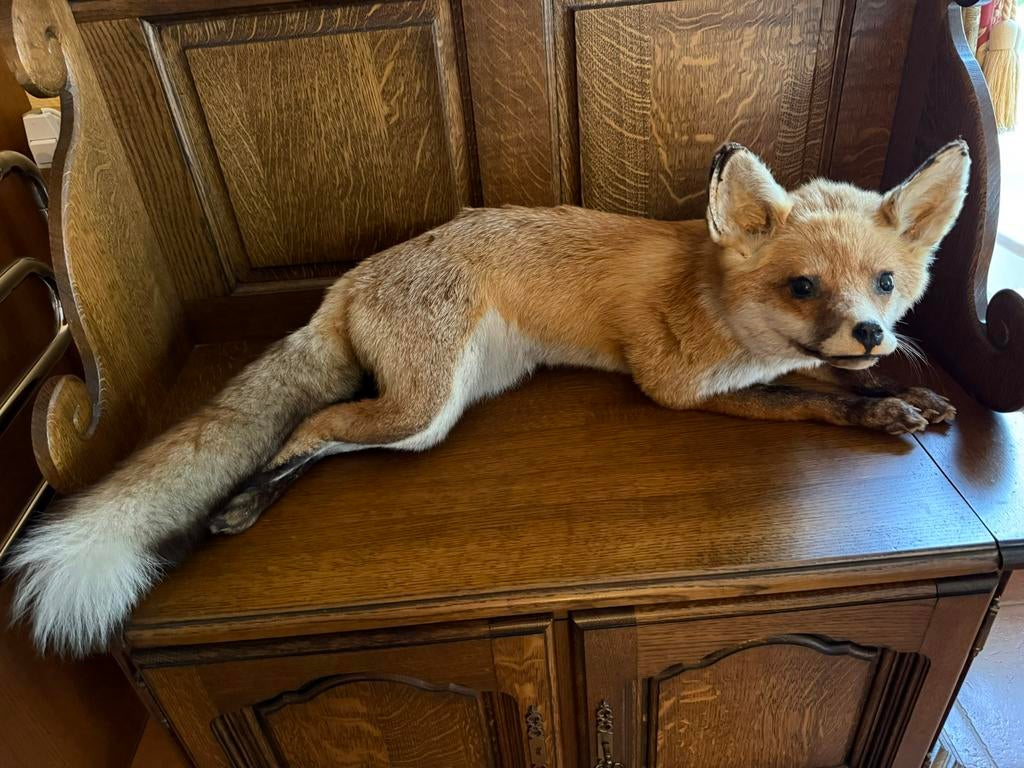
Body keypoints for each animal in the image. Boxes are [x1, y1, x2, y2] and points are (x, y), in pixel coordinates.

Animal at [7, 140, 970, 656]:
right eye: (804, 287)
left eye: (884, 284)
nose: (871, 333)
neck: (718, 303)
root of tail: (353, 277)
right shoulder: (678, 386)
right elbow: (810, 398)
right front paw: (878, 409)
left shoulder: (760, 366)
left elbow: (816, 377)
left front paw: (904, 393)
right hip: (421, 413)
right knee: (311, 424)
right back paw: (244, 499)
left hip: (435, 408)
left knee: (324, 431)